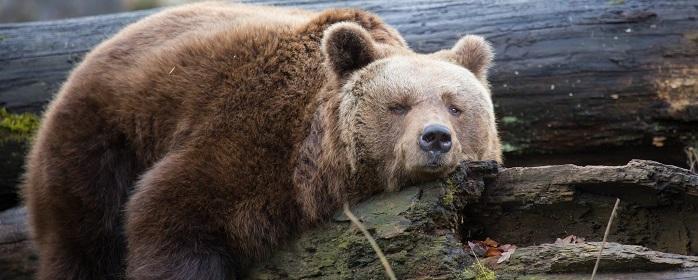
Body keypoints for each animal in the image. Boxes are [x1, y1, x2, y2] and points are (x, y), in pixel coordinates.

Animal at [21, 1, 500, 278]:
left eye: (455, 106)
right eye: (399, 105)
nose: (435, 138)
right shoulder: (246, 136)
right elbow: (170, 214)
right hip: (100, 141)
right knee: (83, 243)